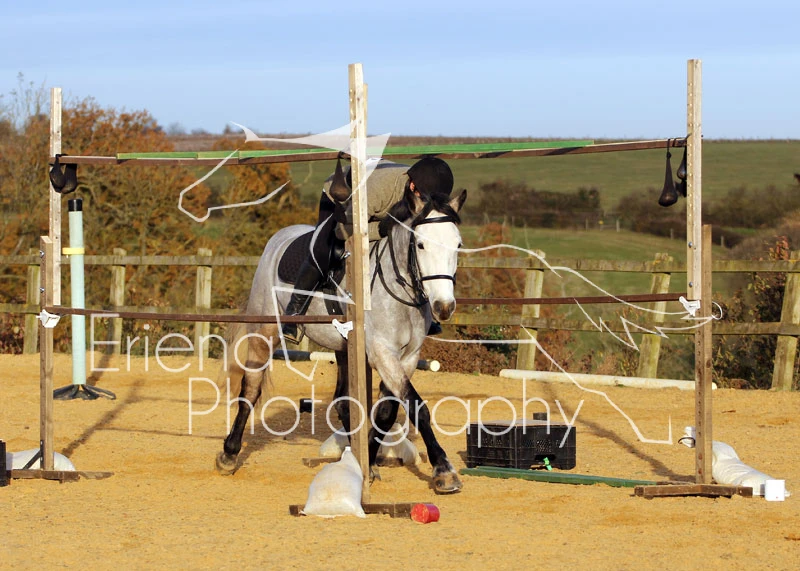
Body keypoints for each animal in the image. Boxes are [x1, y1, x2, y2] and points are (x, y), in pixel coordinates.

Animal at [216, 187, 467, 494]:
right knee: (251, 389)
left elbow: (388, 411)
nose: (444, 307)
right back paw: (229, 454)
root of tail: (280, 237)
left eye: (457, 245)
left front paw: (369, 460)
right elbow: (416, 407)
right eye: (420, 245)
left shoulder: (406, 358)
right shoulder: (382, 353)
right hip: (265, 331)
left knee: (344, 402)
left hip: (345, 347)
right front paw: (444, 470)